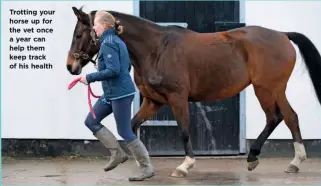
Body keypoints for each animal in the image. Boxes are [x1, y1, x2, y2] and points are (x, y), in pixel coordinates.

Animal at [65, 6, 320, 178]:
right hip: (276, 89)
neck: (156, 49)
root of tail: (283, 35)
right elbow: (133, 124)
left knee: (274, 117)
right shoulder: (153, 101)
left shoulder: (177, 98)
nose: (71, 66)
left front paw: (184, 166)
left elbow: (185, 130)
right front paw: (142, 163)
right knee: (290, 117)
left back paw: (255, 156)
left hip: (266, 88)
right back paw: (294, 162)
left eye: (78, 35)